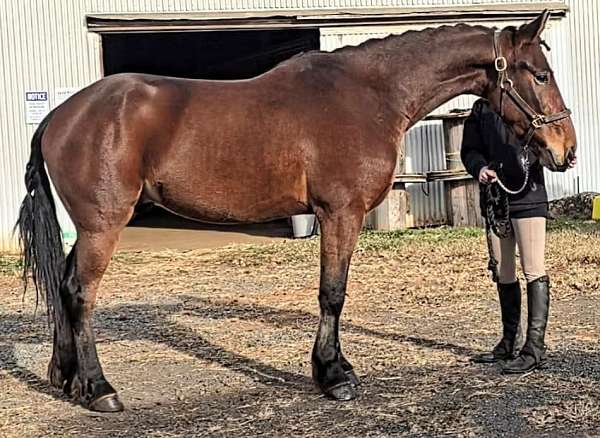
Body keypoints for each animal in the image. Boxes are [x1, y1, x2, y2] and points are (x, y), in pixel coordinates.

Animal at [16, 12, 576, 412]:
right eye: (540, 74)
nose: (565, 150)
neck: (371, 94)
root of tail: (60, 114)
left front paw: (332, 368)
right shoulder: (340, 213)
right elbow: (332, 293)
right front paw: (333, 375)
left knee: (64, 287)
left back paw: (64, 377)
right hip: (101, 226)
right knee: (80, 293)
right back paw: (98, 388)